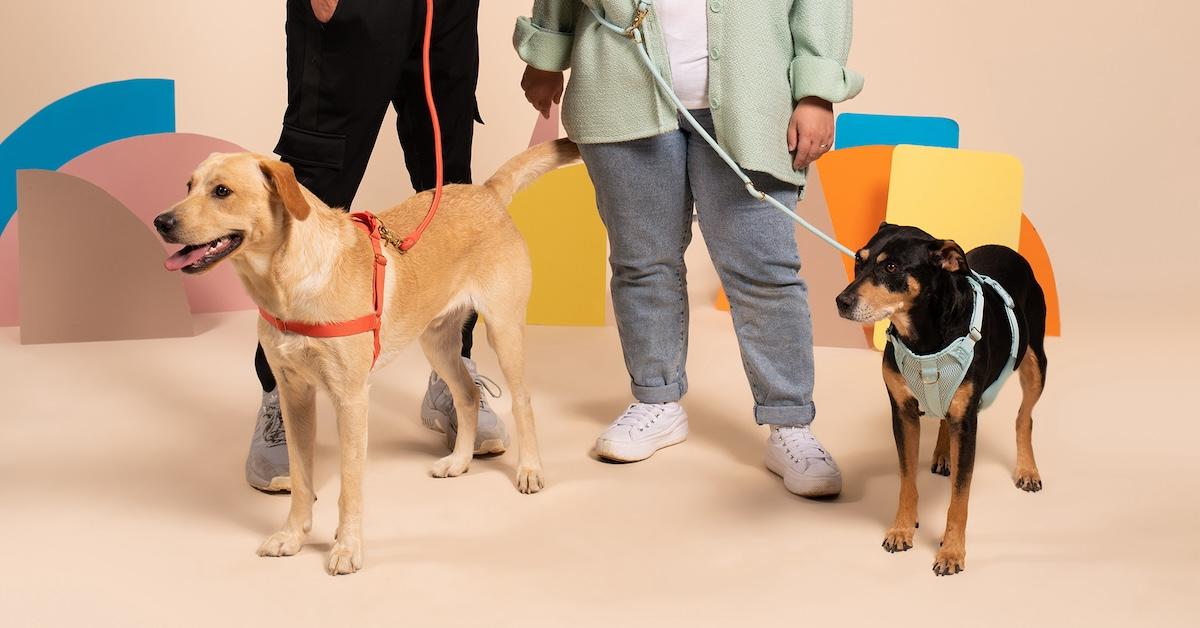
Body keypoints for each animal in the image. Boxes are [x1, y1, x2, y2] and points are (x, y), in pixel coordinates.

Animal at [156, 138, 580, 573]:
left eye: (222, 191)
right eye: (189, 186)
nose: (161, 221)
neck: (289, 282)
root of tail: (486, 192)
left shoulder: (351, 399)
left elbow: (349, 484)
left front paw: (346, 547)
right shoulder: (294, 395)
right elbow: (301, 478)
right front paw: (293, 536)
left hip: (503, 330)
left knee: (522, 399)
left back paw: (529, 469)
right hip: (437, 341)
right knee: (467, 393)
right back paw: (459, 461)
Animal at [835, 223, 1051, 578]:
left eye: (891, 267)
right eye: (858, 260)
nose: (841, 301)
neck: (924, 338)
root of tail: (1008, 249)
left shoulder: (967, 423)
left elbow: (959, 498)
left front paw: (951, 552)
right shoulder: (903, 412)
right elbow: (907, 479)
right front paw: (901, 529)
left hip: (1035, 361)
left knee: (1025, 417)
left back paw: (1027, 469)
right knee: (944, 415)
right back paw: (942, 454)